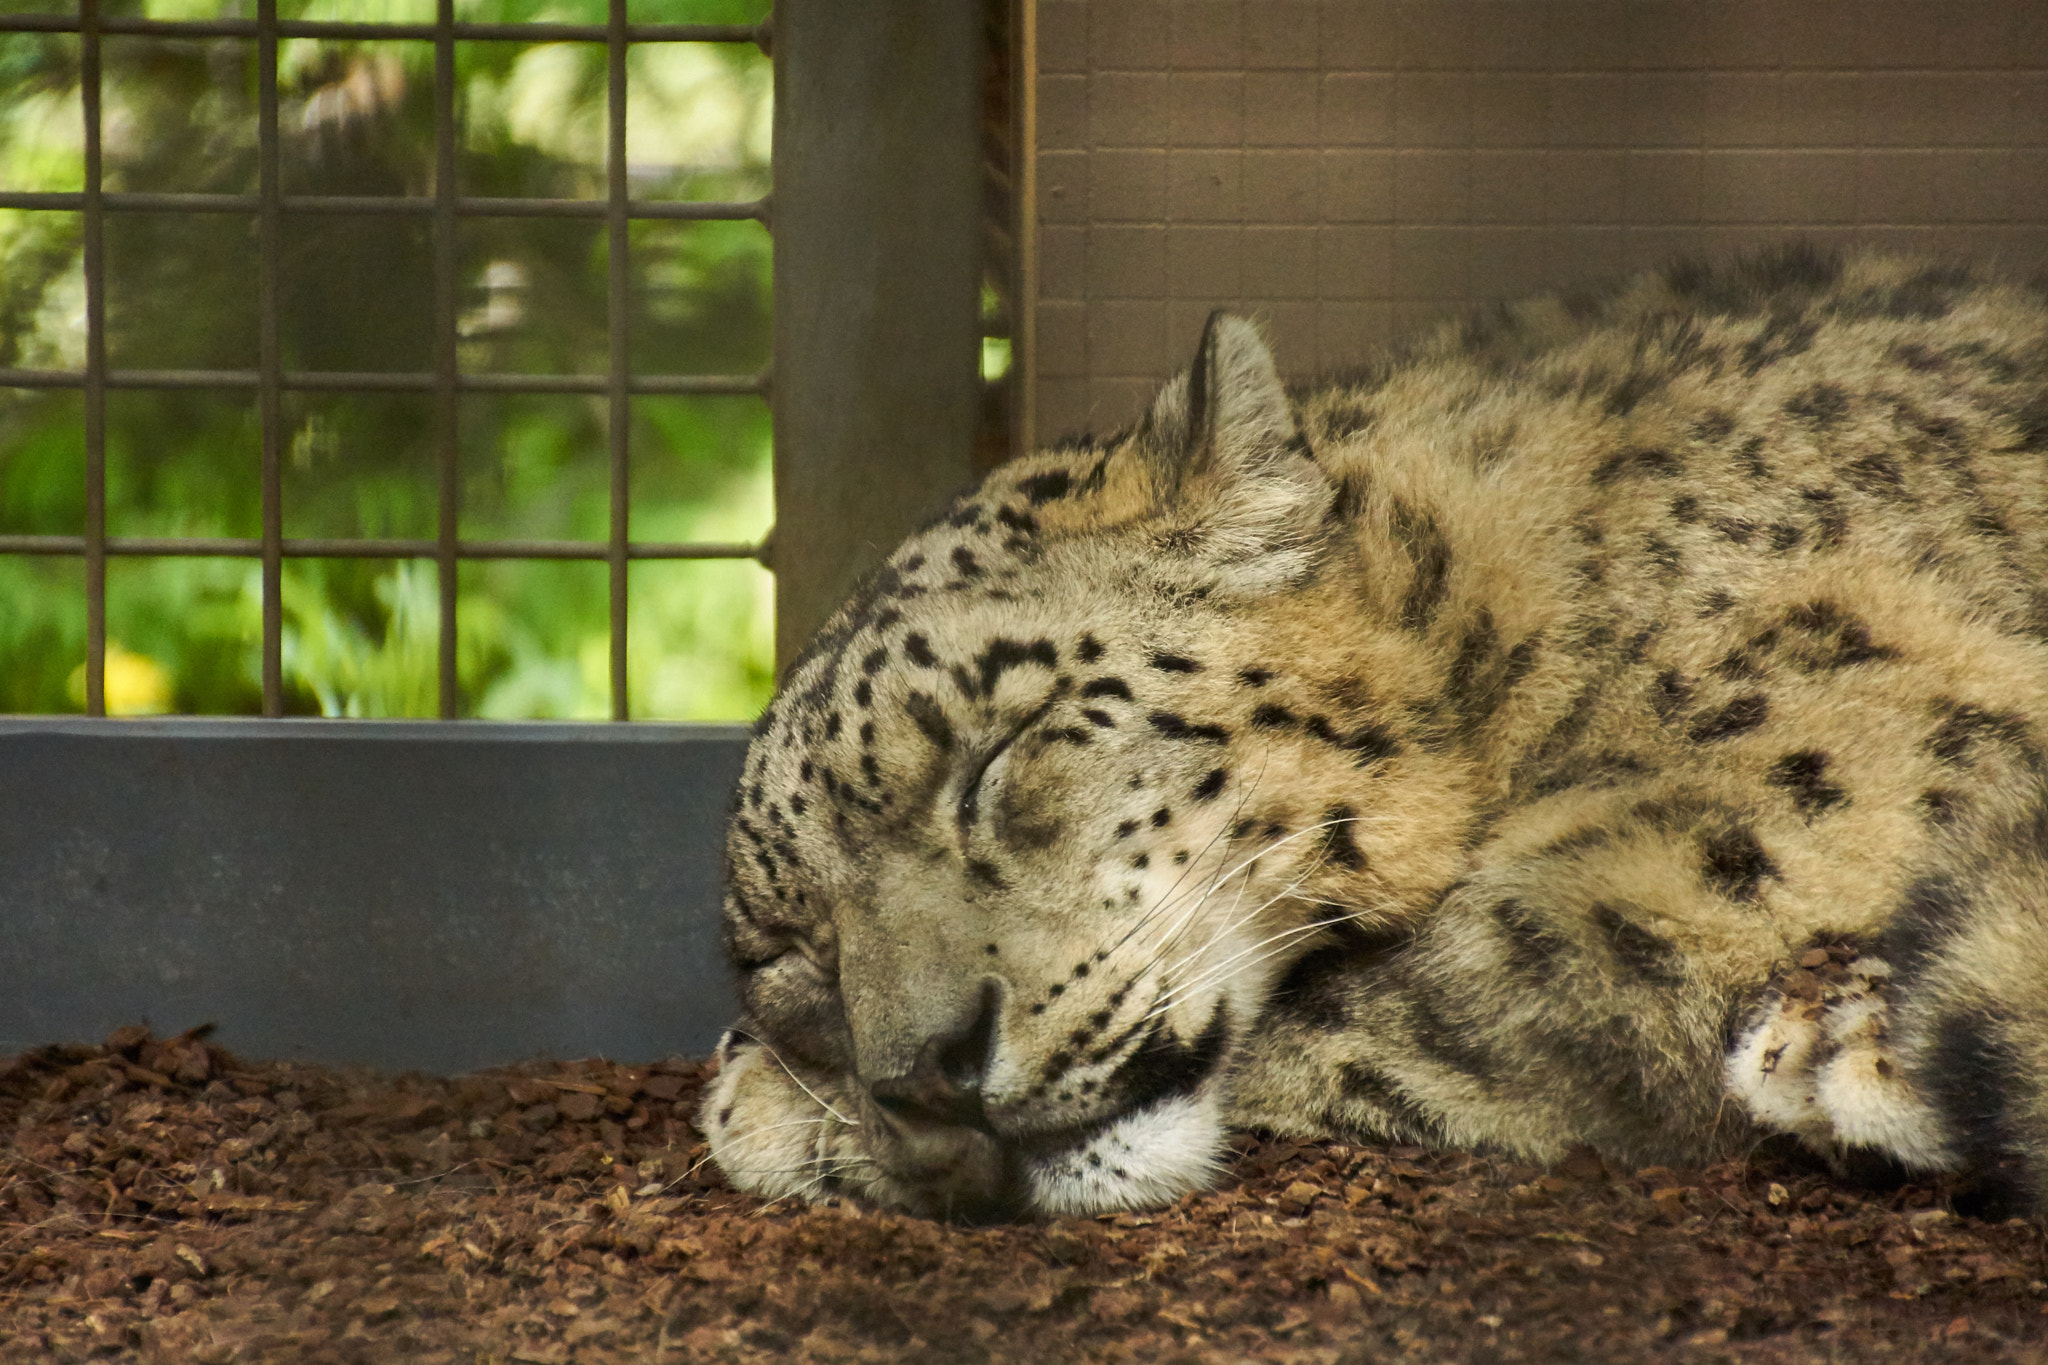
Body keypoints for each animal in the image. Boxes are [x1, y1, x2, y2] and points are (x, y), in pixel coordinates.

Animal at [700, 248, 2048, 1227]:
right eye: (786, 952)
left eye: (991, 755)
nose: (928, 1073)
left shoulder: (1800, 784)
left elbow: (1464, 971)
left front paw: (759, 1107)